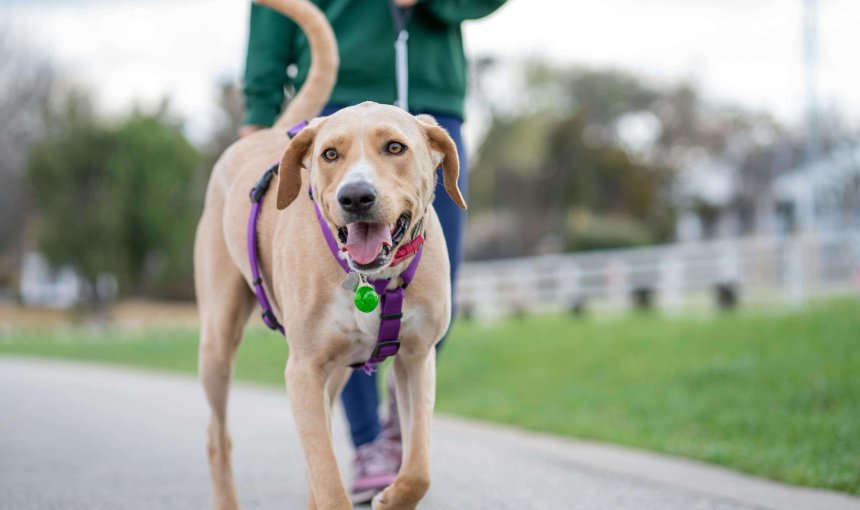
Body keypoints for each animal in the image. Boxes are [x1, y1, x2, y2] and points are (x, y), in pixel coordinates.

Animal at [195, 0, 464, 510]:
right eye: (330, 155)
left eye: (395, 147)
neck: (371, 281)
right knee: (218, 439)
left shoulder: (417, 358)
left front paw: (391, 496)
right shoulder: (302, 371)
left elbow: (418, 468)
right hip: (219, 338)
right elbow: (329, 482)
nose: (355, 196)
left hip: (337, 371)